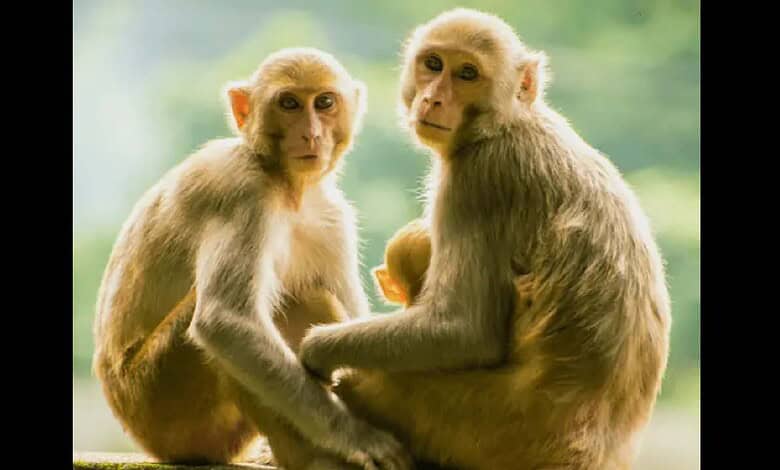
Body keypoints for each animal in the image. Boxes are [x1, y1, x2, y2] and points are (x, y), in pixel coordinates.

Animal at [92, 47, 412, 470]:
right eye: (289, 104)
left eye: (324, 102)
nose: (311, 134)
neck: (286, 185)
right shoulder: (239, 190)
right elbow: (225, 321)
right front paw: (356, 435)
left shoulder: (333, 216)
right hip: (162, 406)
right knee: (280, 304)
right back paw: (309, 458)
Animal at [299, 9, 672, 470]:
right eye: (434, 64)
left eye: (468, 74)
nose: (434, 99)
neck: (505, 123)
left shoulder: (478, 180)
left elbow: (464, 329)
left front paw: (318, 348)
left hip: (473, 429)